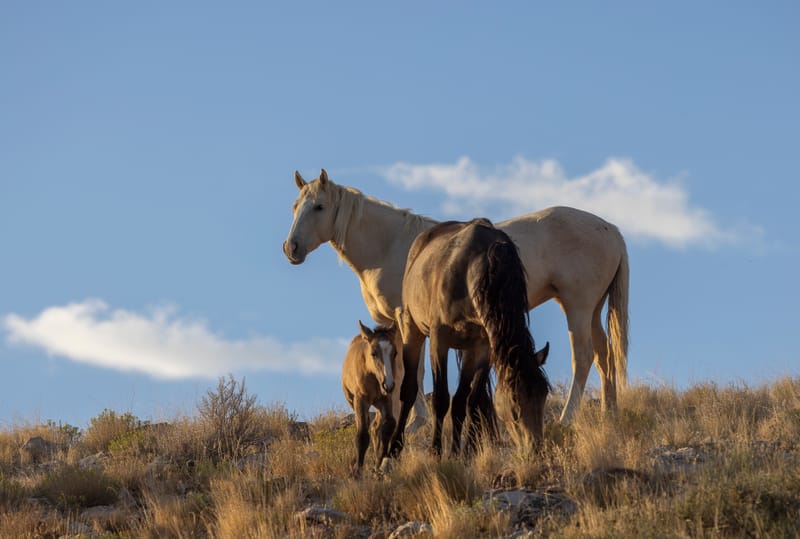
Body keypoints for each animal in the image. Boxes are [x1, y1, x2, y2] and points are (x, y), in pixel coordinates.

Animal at [283, 169, 629, 424]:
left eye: (319, 207)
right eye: (295, 207)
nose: (291, 248)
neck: (391, 246)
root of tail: (610, 228)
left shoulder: (407, 320)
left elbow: (414, 370)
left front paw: (416, 423)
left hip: (577, 306)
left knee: (583, 356)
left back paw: (567, 419)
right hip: (592, 309)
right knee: (605, 355)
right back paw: (610, 415)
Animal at [341, 321, 403, 476]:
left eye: (395, 353)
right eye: (374, 353)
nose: (388, 384)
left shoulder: (387, 399)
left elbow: (389, 425)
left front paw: (379, 463)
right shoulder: (361, 400)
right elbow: (362, 434)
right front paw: (357, 471)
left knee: (376, 427)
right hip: (354, 402)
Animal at [394, 218, 550, 457]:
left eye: (544, 394)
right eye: (515, 401)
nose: (536, 449)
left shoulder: (484, 346)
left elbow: (470, 401)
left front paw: (464, 452)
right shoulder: (439, 340)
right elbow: (441, 399)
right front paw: (436, 451)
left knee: (461, 399)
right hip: (413, 329)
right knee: (409, 390)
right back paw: (391, 449)